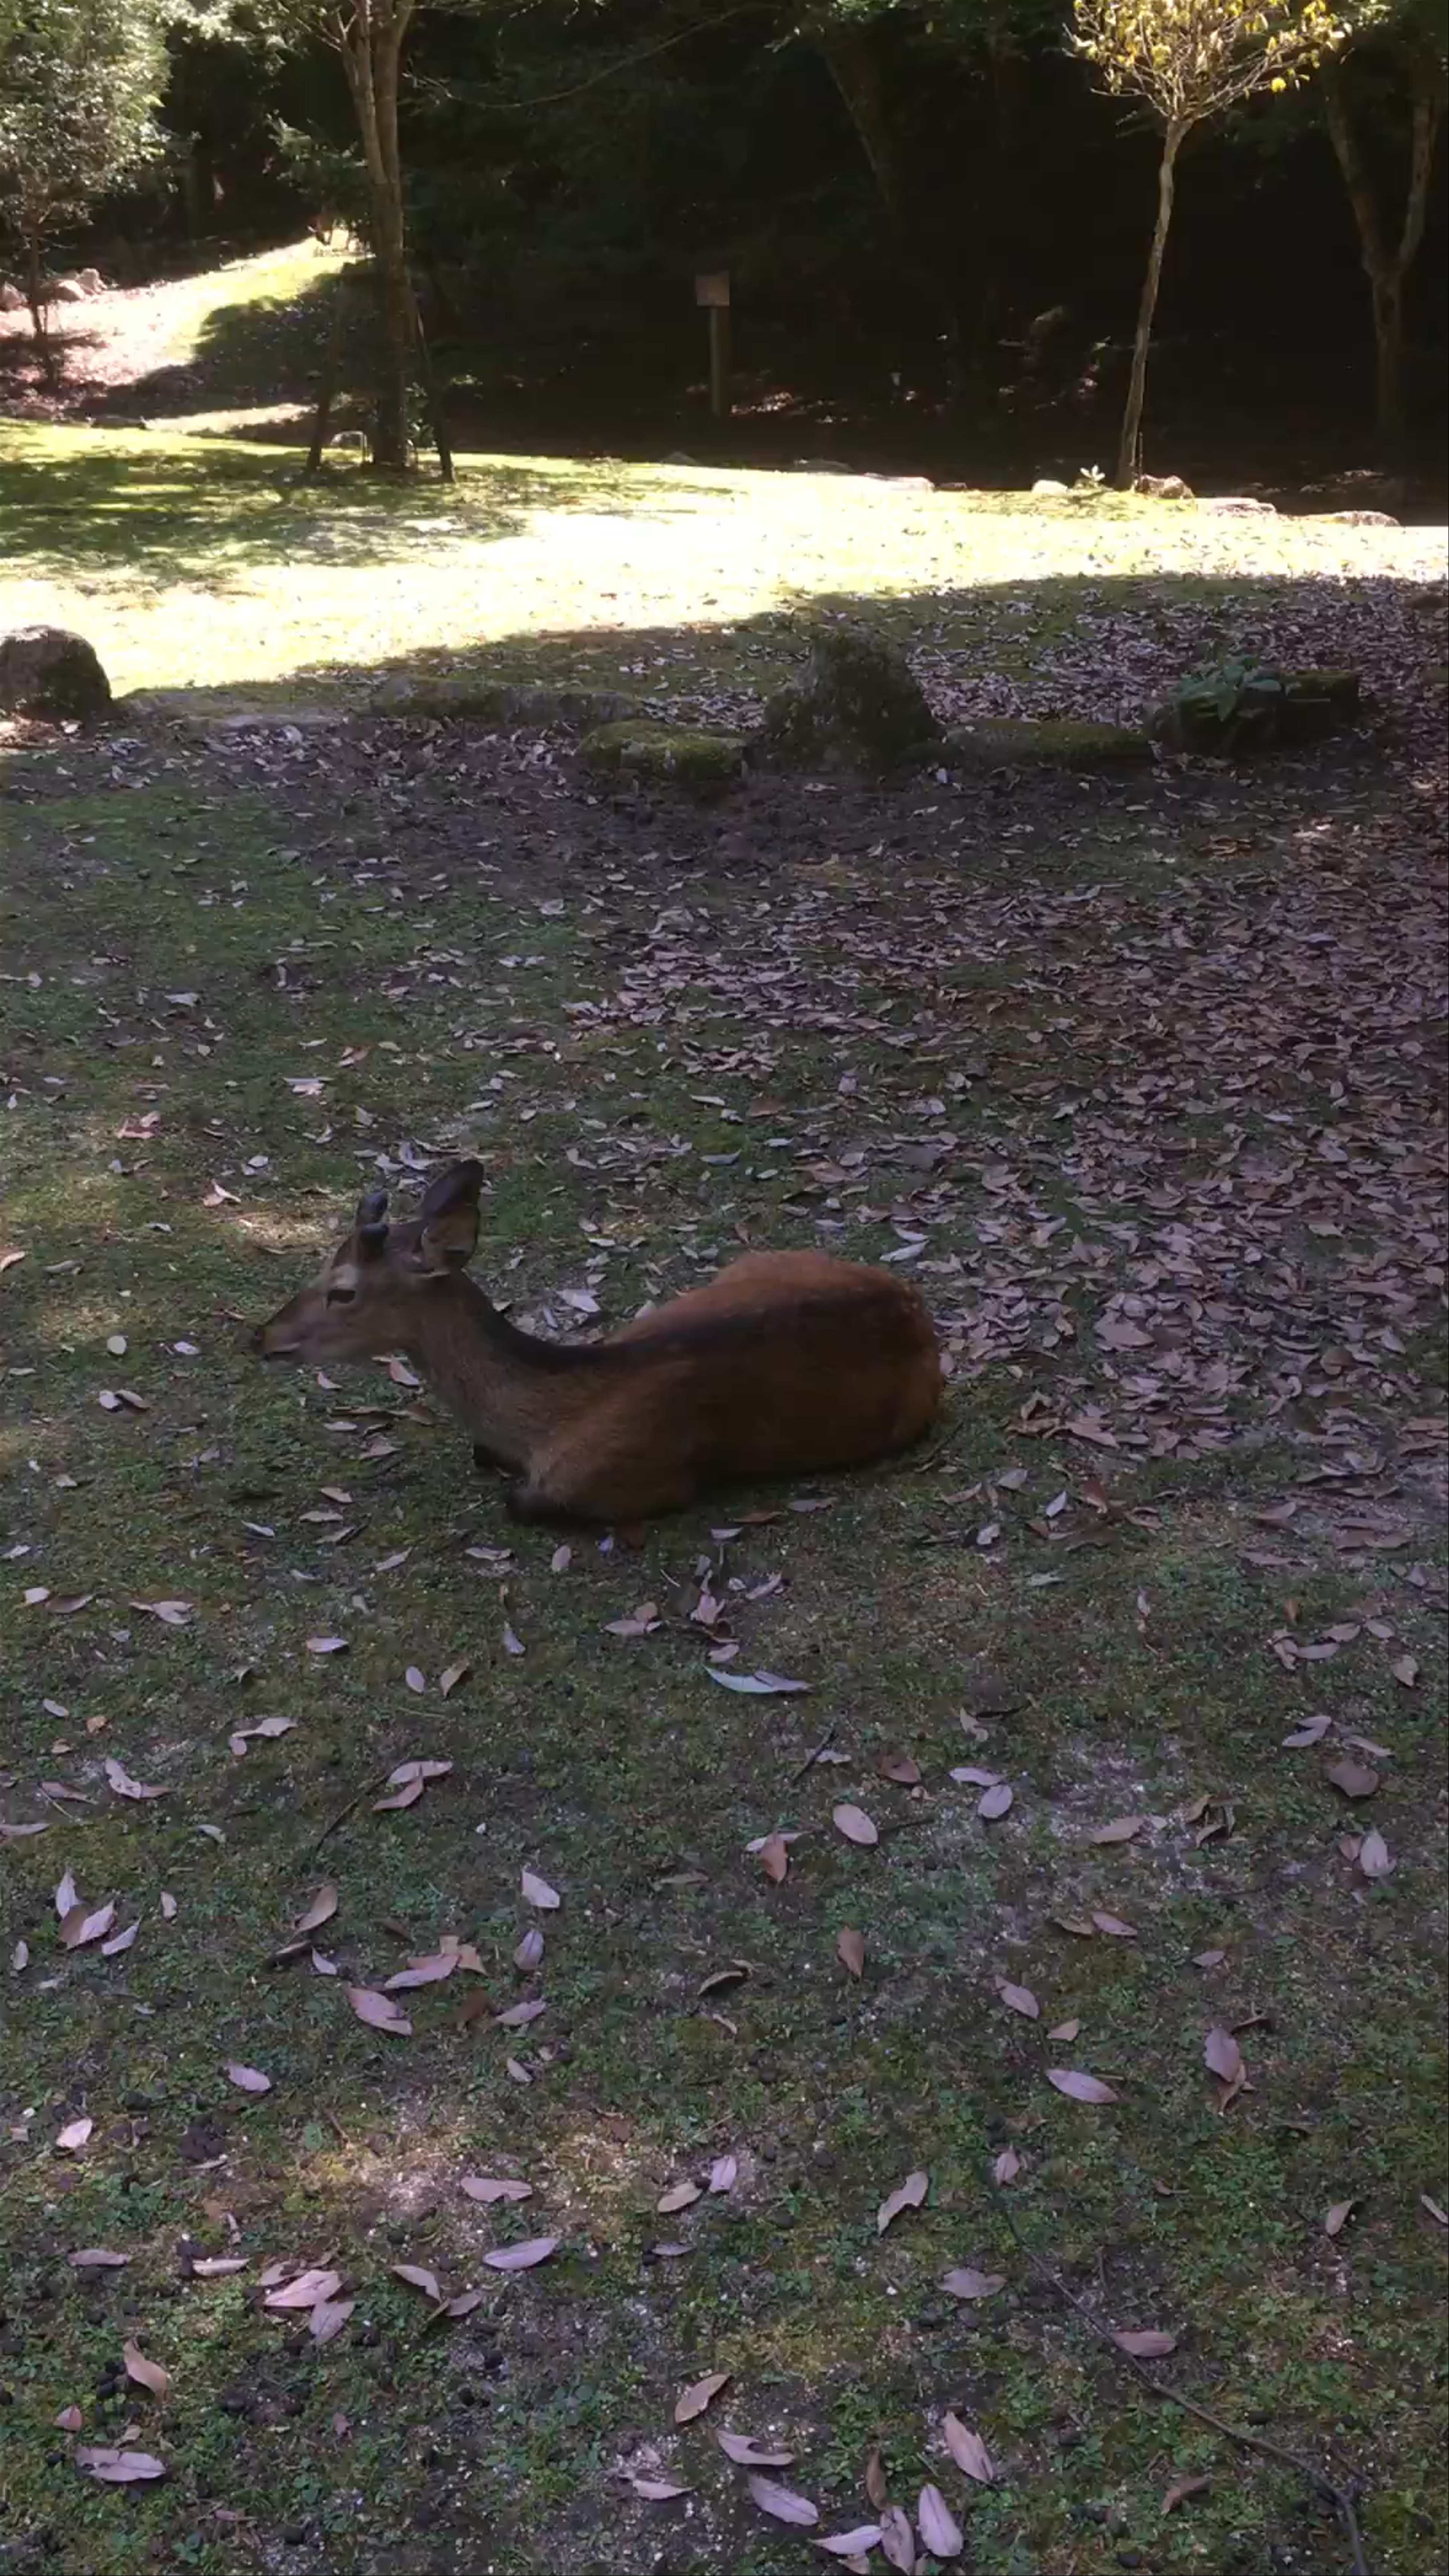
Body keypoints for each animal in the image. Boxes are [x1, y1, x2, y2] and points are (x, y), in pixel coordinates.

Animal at [256, 1160, 943, 1525]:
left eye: (343, 1291)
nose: (263, 1335)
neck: (545, 1420)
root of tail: (917, 1307)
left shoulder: (640, 1478)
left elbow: (520, 1500)